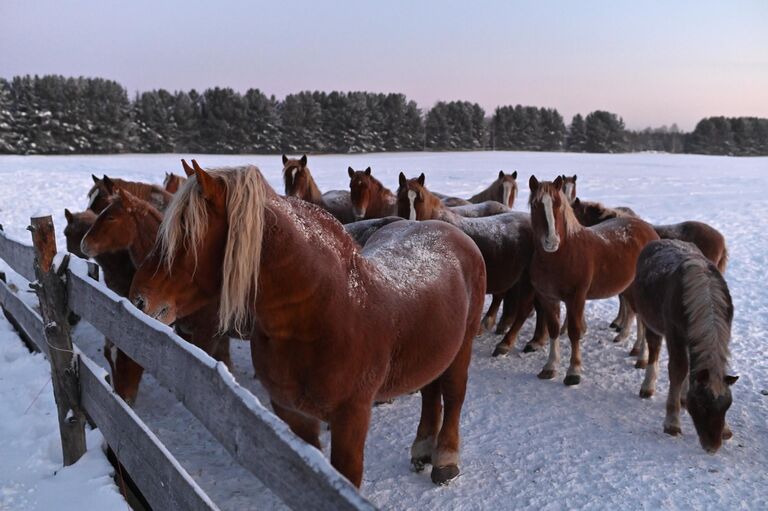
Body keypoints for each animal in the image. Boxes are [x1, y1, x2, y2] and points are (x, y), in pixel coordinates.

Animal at [128, 163, 484, 488]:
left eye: (187, 233)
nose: (139, 299)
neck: (323, 314)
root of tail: (450, 232)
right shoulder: (293, 414)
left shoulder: (351, 418)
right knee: (430, 391)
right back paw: (423, 448)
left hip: (462, 346)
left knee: (454, 395)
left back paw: (445, 460)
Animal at [396, 172, 544, 356]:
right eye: (401, 199)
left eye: (420, 200)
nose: (410, 223)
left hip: (528, 282)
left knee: (524, 310)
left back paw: (505, 343)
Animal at [528, 176, 660, 384]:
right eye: (535, 205)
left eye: (558, 204)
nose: (551, 242)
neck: (562, 255)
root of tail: (649, 229)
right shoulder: (547, 298)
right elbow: (554, 330)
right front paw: (550, 367)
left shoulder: (576, 298)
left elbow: (574, 332)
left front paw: (573, 372)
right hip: (630, 289)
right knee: (639, 317)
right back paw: (638, 351)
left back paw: (642, 359)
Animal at [632, 240, 736, 452]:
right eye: (702, 405)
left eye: (727, 406)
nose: (713, 447)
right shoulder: (675, 334)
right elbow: (678, 369)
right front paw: (672, 422)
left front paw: (726, 429)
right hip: (651, 322)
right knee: (654, 349)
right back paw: (648, 386)